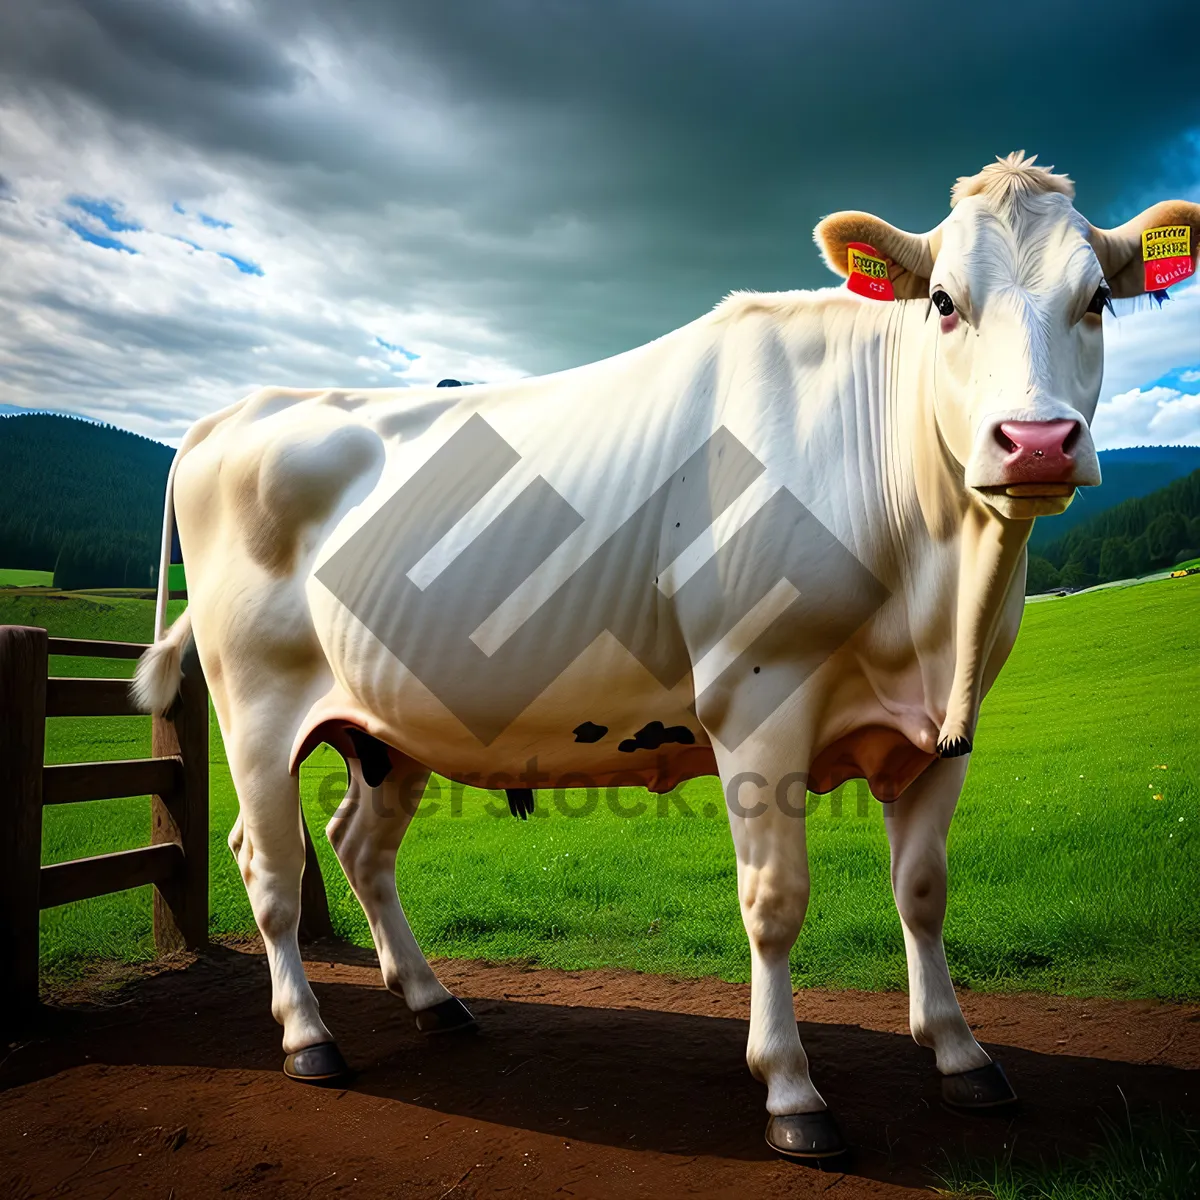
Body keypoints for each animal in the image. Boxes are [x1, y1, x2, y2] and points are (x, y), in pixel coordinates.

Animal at [136, 154, 1195, 1156]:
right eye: (942, 302)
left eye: (1097, 300)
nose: (1037, 441)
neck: (941, 600)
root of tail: (237, 411)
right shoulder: (757, 701)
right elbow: (775, 902)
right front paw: (791, 1091)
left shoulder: (944, 730)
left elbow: (925, 893)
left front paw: (961, 1052)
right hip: (256, 701)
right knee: (268, 862)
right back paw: (308, 1038)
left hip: (384, 725)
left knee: (360, 845)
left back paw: (435, 1001)